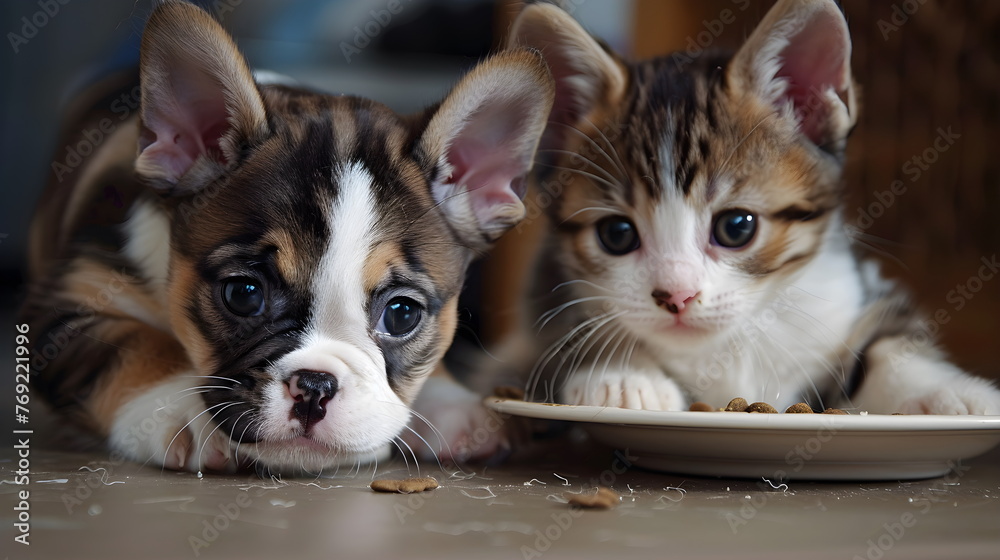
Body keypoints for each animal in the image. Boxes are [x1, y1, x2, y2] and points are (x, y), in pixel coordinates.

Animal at [21, 1, 556, 472]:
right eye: (243, 293)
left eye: (403, 314)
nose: (315, 385)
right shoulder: (67, 311)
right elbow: (138, 344)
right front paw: (181, 408)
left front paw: (453, 402)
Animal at [498, 1, 1000, 416]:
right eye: (616, 235)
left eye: (736, 227)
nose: (677, 297)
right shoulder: (543, 289)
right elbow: (572, 320)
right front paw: (623, 376)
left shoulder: (850, 288)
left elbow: (885, 344)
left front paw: (947, 392)